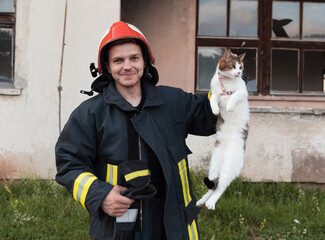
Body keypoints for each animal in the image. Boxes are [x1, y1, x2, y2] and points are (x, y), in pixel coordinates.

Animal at [195, 48, 248, 210]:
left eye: (240, 67)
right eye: (233, 66)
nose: (239, 72)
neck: (227, 82)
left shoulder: (243, 92)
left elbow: (235, 95)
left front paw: (230, 105)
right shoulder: (215, 93)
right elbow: (213, 99)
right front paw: (215, 109)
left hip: (229, 165)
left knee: (221, 187)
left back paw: (211, 203)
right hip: (214, 166)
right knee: (213, 186)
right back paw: (203, 201)